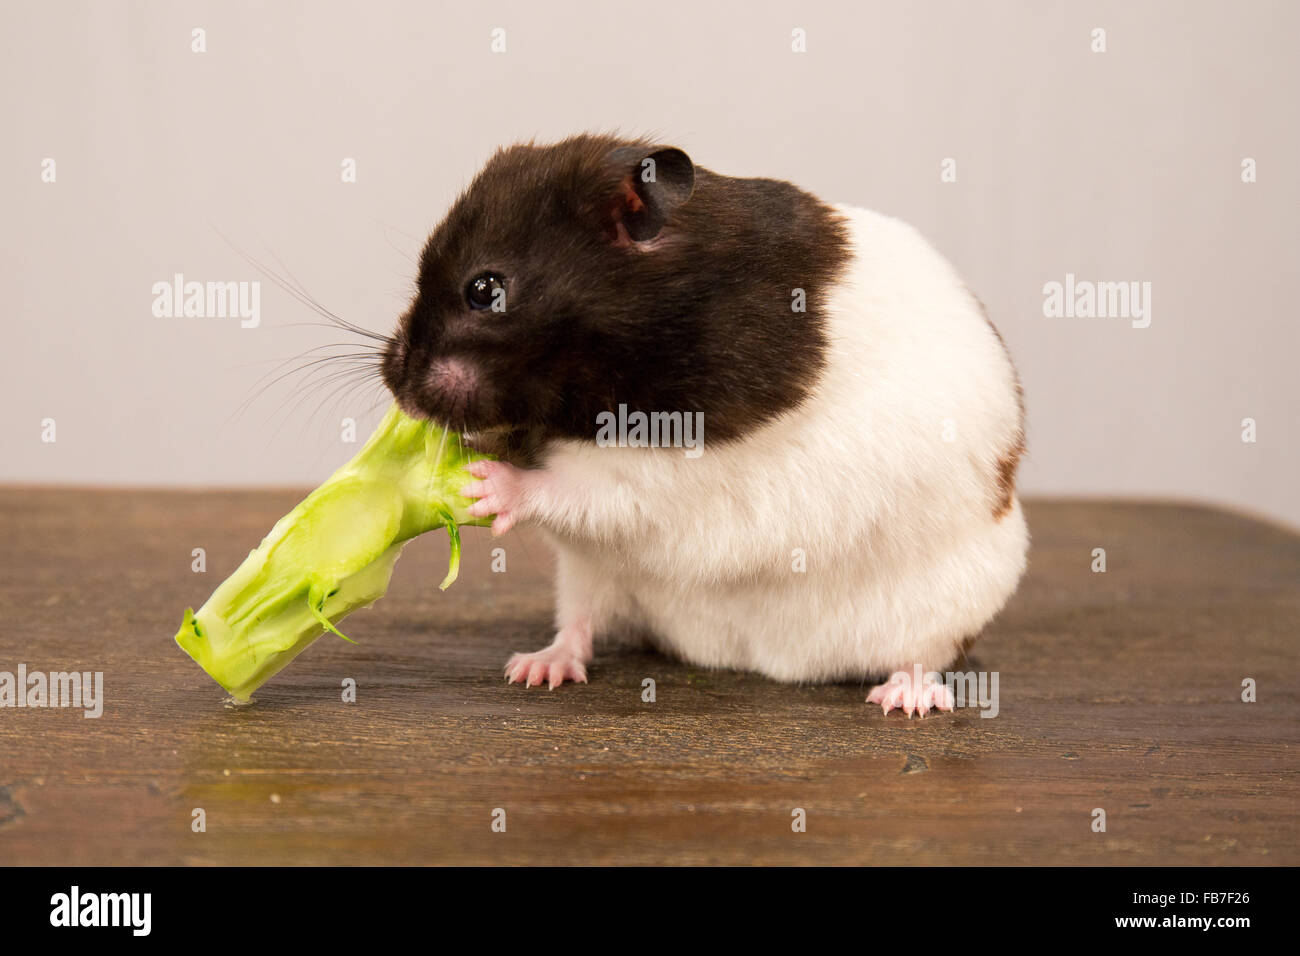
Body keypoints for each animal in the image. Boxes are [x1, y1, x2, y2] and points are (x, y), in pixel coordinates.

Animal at [382, 133, 1028, 716]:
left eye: (484, 289)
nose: (397, 385)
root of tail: (769, 659)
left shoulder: (677, 469)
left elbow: (584, 488)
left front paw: (481, 484)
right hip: (588, 574)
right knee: (580, 623)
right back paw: (536, 669)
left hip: (952, 599)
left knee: (922, 655)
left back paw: (906, 700)